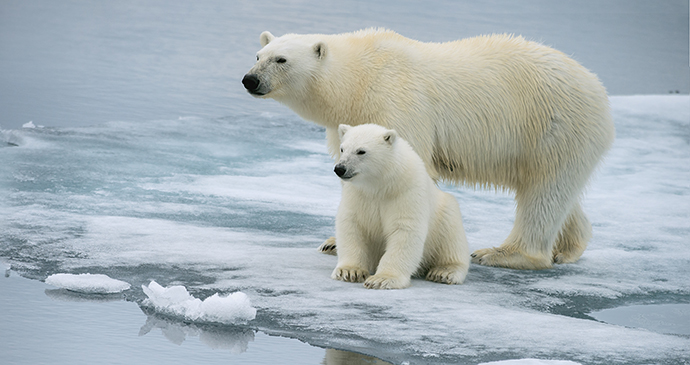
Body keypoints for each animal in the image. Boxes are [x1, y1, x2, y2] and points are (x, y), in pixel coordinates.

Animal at [242, 29, 612, 270]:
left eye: (281, 59)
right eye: (258, 55)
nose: (250, 80)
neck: (358, 80)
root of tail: (598, 87)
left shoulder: (396, 102)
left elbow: (410, 168)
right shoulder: (347, 121)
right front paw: (333, 241)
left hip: (553, 124)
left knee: (544, 191)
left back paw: (502, 254)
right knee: (555, 190)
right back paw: (567, 249)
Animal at [330, 123, 464, 288]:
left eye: (361, 151)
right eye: (342, 148)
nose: (340, 168)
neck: (380, 185)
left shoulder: (406, 192)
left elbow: (404, 230)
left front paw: (382, 279)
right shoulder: (357, 194)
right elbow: (352, 224)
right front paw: (349, 271)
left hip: (445, 213)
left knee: (451, 239)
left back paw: (443, 272)